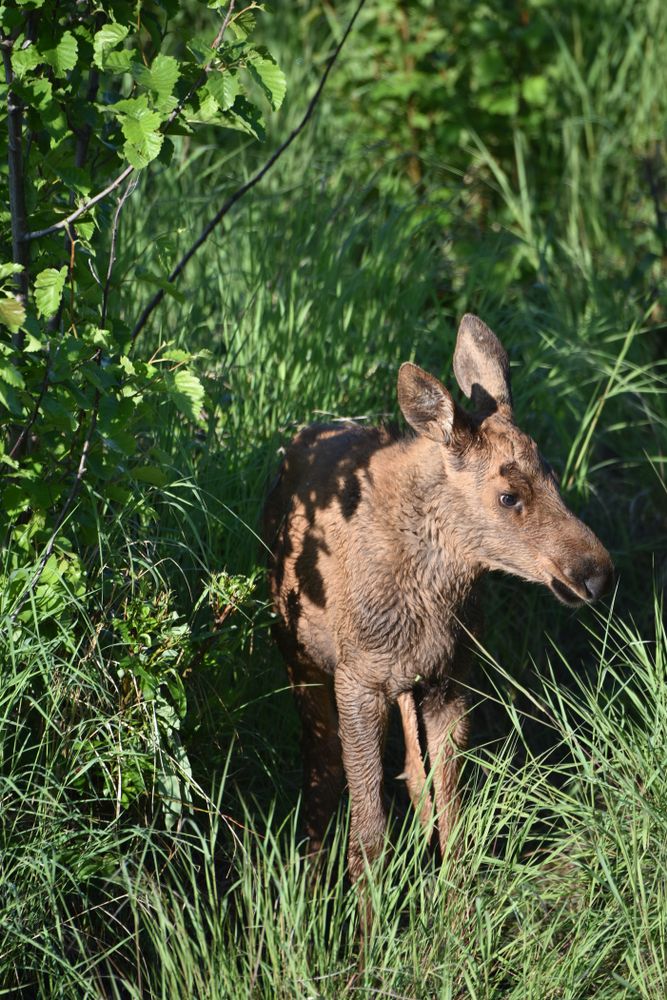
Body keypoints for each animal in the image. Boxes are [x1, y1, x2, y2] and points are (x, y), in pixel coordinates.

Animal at [264, 314, 613, 890]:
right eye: (508, 496)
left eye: (555, 478)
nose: (596, 573)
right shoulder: (357, 681)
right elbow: (369, 835)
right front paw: (368, 916)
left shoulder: (451, 678)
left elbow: (452, 814)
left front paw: (457, 905)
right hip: (300, 656)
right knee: (321, 769)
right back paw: (310, 878)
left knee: (412, 778)